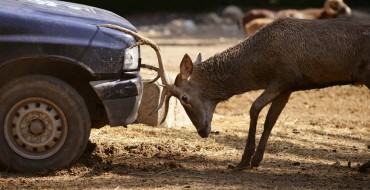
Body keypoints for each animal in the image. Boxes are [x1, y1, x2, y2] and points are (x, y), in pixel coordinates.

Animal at [99, 17, 370, 171]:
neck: (261, 65)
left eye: (185, 98)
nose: (202, 131)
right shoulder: (289, 85)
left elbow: (254, 108)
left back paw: (363, 166)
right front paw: (257, 160)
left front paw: (242, 161)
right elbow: (271, 118)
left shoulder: (282, 77)